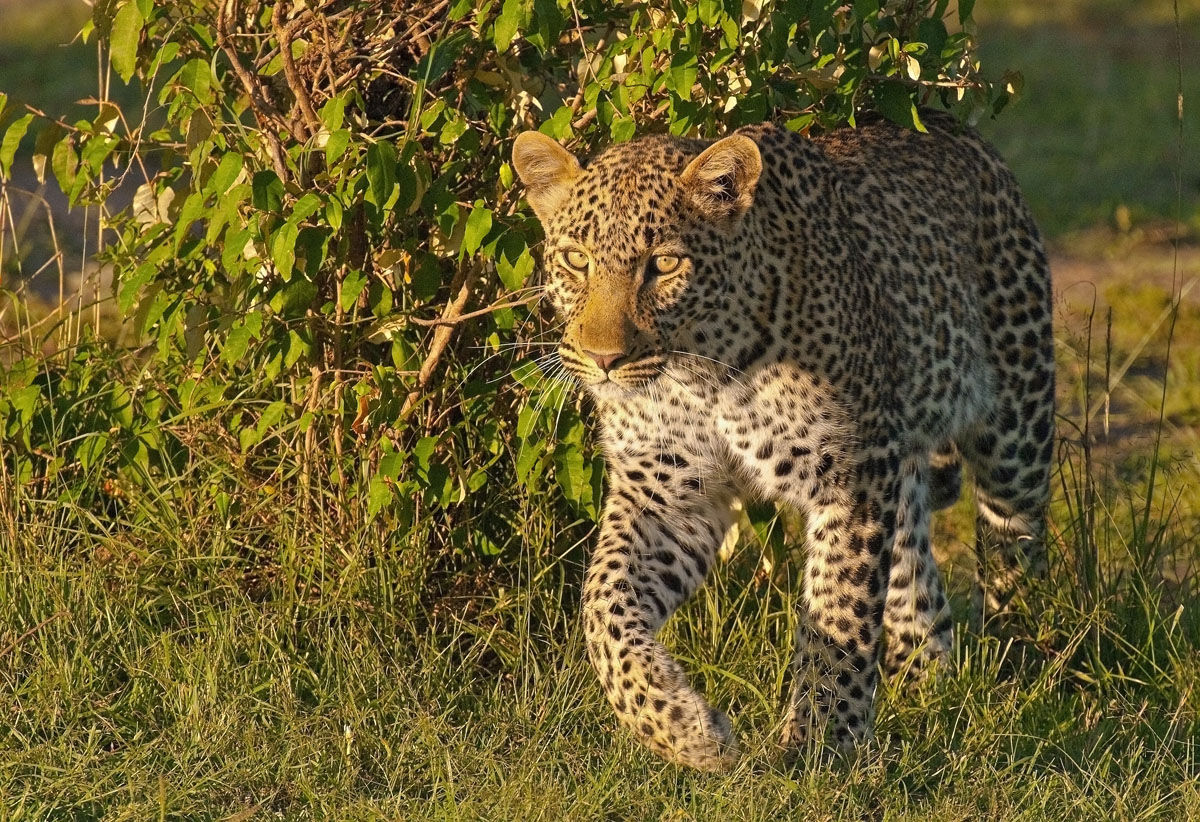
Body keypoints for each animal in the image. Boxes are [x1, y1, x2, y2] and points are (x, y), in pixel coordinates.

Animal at [511, 109, 1055, 772]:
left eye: (662, 265)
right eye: (574, 259)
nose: (603, 360)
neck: (701, 372)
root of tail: (952, 125)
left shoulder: (850, 476)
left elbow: (839, 612)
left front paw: (821, 743)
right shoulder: (666, 492)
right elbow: (603, 603)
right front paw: (681, 728)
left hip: (1016, 420)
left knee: (1015, 547)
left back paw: (1027, 658)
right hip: (899, 461)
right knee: (914, 570)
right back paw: (925, 680)